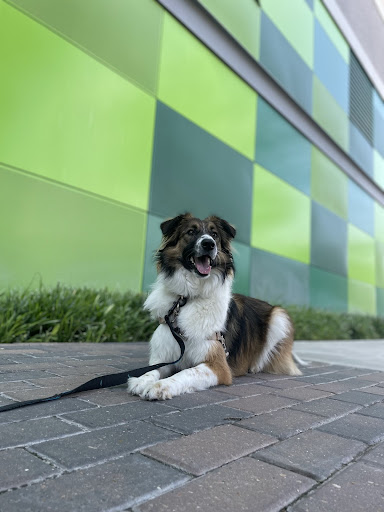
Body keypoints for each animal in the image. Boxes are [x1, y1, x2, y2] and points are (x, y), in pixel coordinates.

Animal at [127, 212, 302, 400]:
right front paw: (141, 380)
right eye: (190, 232)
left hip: (279, 315)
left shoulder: (218, 366)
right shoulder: (165, 356)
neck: (188, 299)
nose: (209, 244)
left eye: (215, 235)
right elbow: (152, 370)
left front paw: (161, 385)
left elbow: (185, 373)